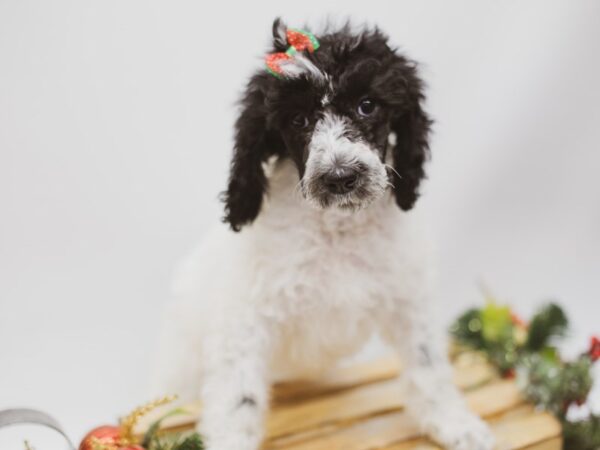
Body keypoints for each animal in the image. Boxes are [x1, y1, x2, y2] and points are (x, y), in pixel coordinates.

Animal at [152, 19, 494, 450]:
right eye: (299, 120)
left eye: (367, 105)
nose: (340, 177)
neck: (336, 229)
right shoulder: (243, 321)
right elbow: (238, 397)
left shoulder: (408, 298)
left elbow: (427, 361)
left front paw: (455, 423)